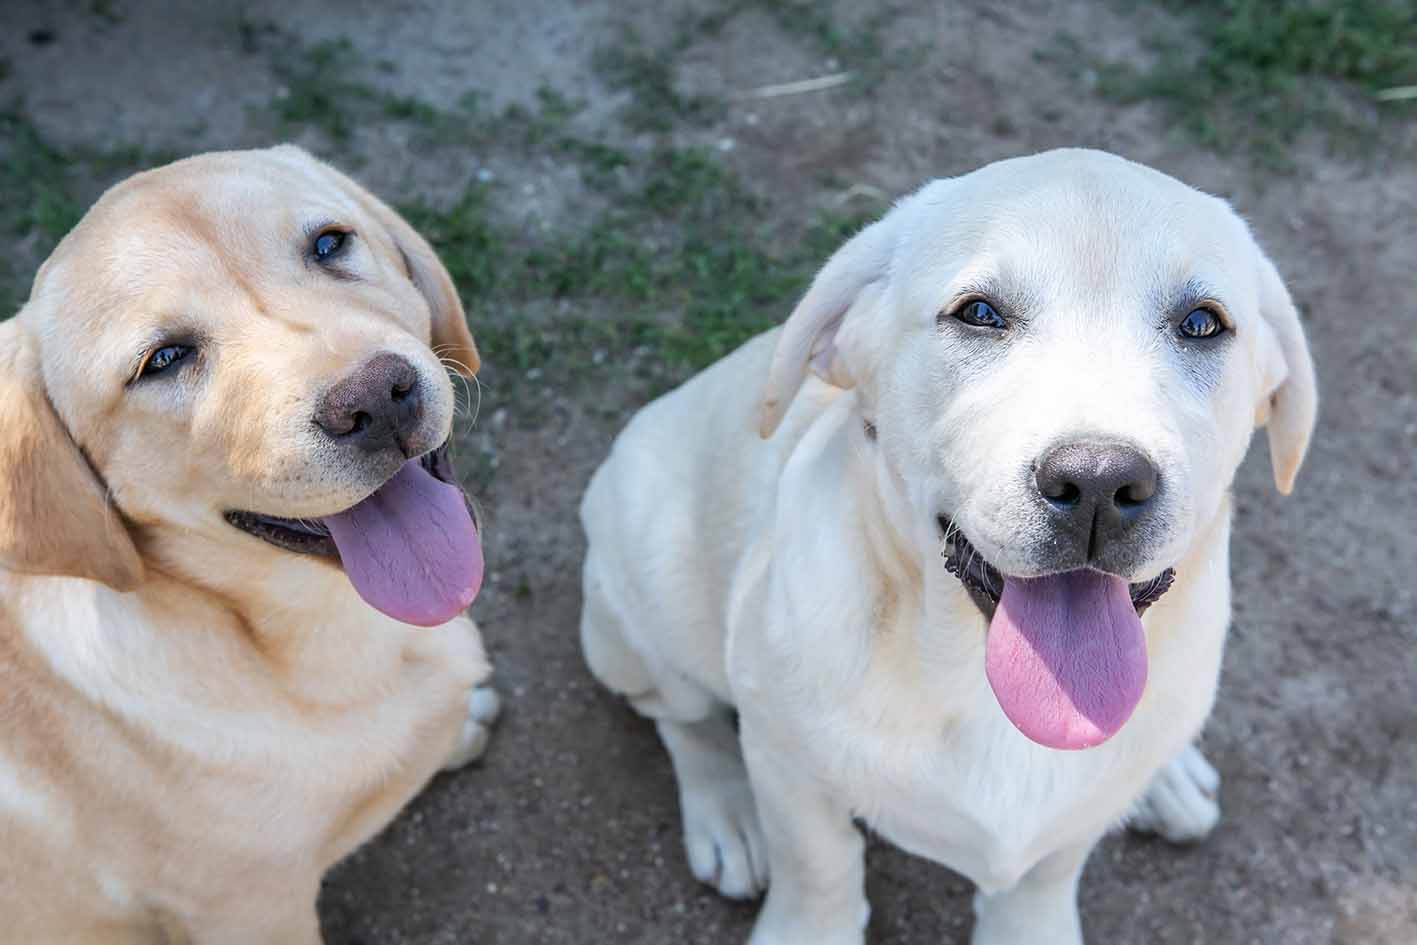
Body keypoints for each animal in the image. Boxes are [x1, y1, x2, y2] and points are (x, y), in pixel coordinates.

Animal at [575, 149, 1314, 945]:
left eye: (1202, 323)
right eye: (979, 313)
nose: (1096, 480)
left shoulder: (1069, 821)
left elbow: (1045, 876)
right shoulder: (787, 762)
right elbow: (818, 864)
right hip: (645, 580)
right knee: (679, 713)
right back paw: (726, 813)